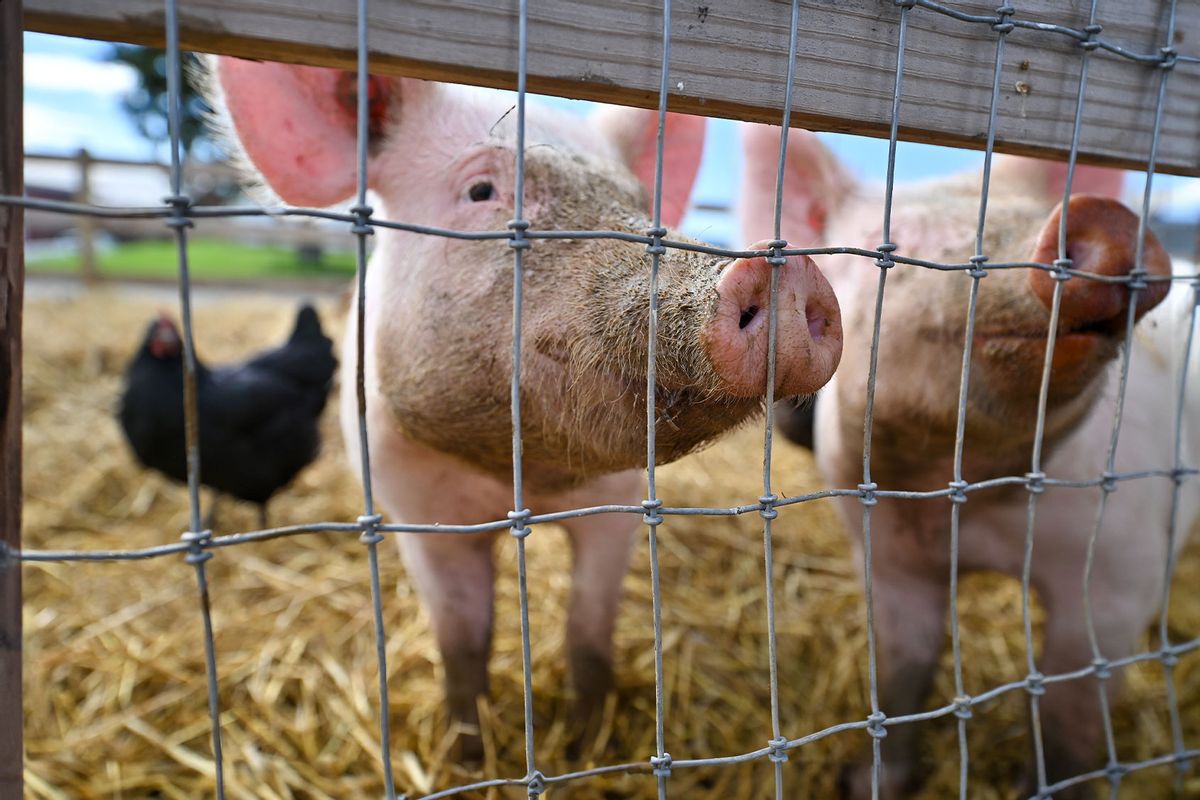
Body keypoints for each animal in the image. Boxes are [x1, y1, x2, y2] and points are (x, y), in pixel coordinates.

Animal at [208, 61, 844, 758]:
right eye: (481, 190)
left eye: (637, 202)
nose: (786, 271)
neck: (523, 477)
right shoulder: (413, 508)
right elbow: (463, 642)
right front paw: (468, 753)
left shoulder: (620, 503)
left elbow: (588, 634)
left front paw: (586, 745)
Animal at [734, 122, 1195, 796]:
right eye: (895, 248)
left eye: (1028, 212)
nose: (1103, 215)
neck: (965, 497)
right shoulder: (888, 557)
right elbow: (904, 673)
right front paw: (867, 782)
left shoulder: (1121, 572)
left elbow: (1072, 713)